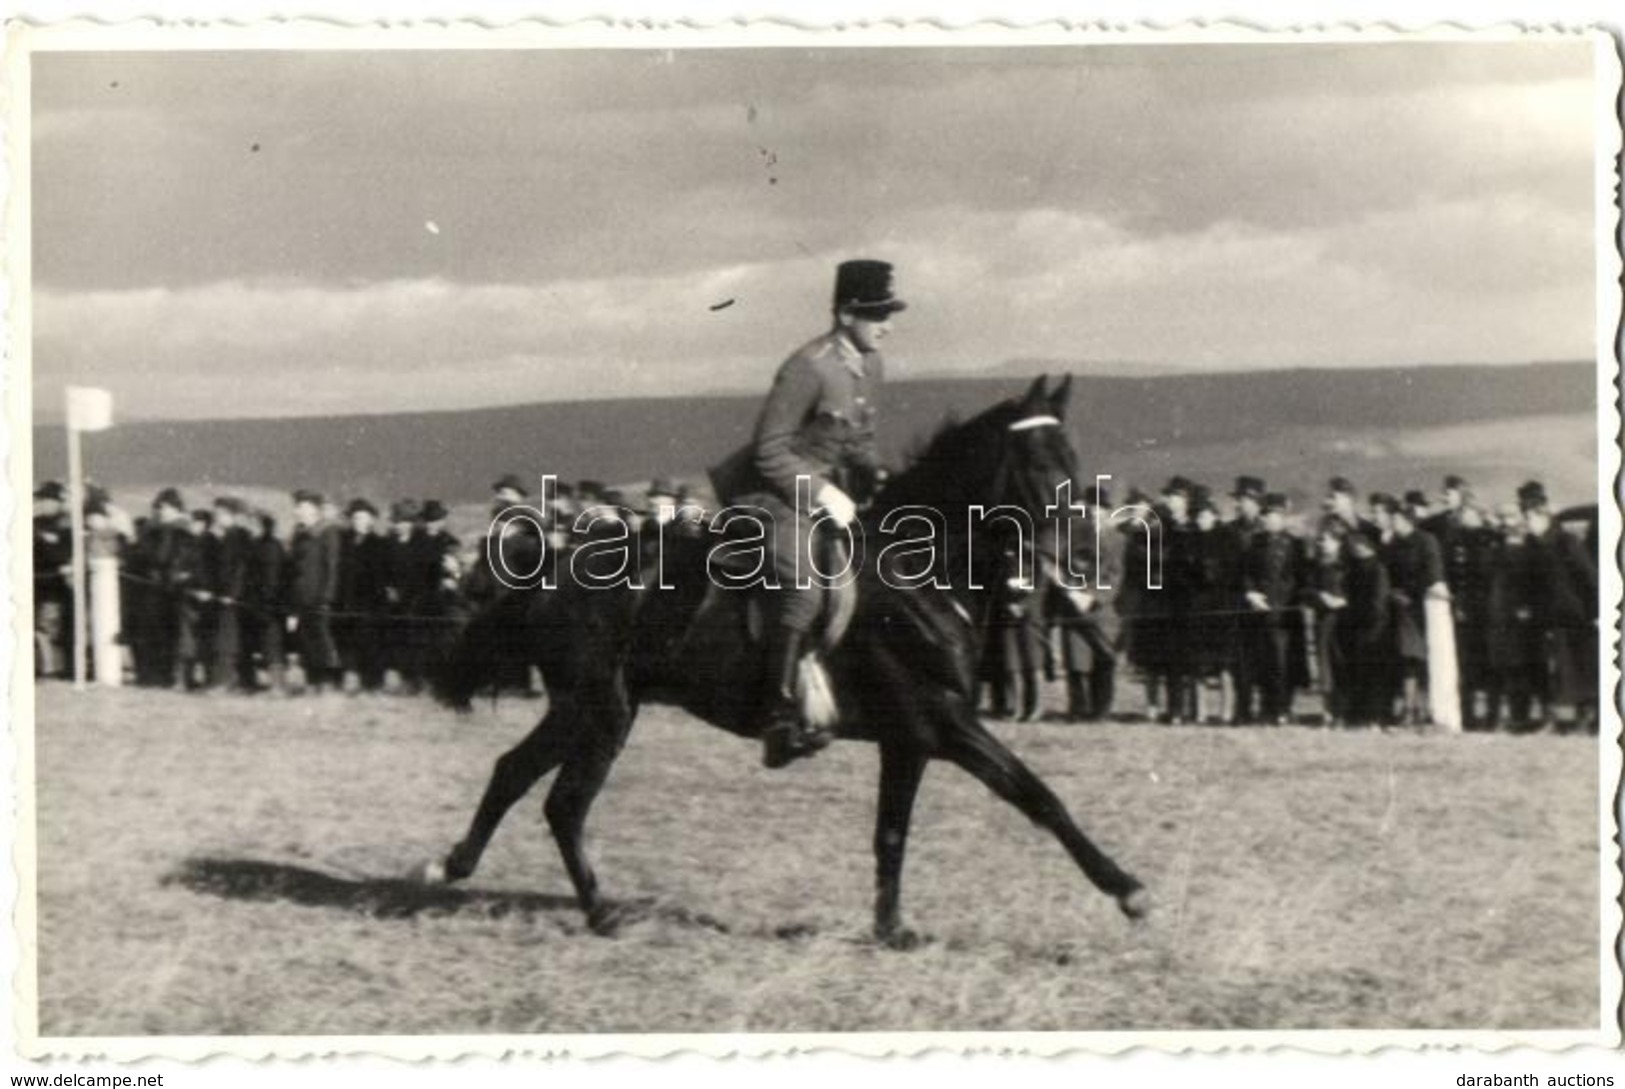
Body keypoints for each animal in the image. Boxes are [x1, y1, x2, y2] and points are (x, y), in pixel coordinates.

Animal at [425, 373, 1150, 949]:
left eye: (1073, 455)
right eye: (1037, 460)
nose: (1090, 560)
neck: (920, 574)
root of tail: (550, 571)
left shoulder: (909, 740)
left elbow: (892, 833)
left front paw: (891, 928)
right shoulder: (943, 722)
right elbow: (1035, 794)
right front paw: (1127, 889)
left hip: (587, 709)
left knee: (512, 773)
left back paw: (452, 867)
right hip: (602, 712)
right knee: (565, 803)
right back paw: (601, 912)